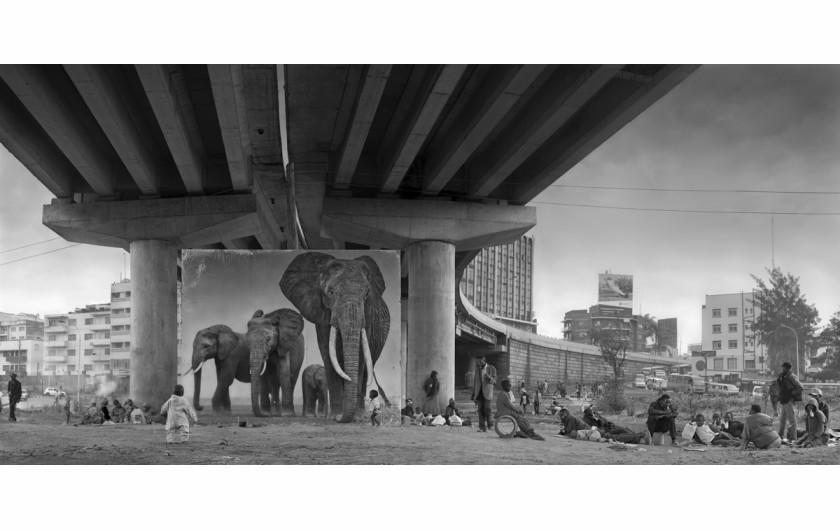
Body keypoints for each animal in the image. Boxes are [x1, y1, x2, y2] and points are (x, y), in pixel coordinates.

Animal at [278, 251, 390, 420]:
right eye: (330, 292)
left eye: (367, 294)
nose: (339, 417)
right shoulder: (322, 316)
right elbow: (329, 356)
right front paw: (334, 416)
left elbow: (360, 359)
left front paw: (354, 418)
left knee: (367, 369)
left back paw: (361, 414)